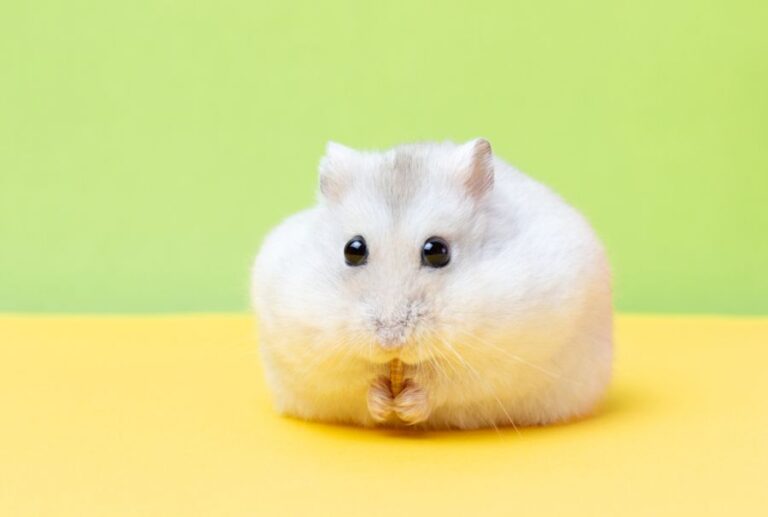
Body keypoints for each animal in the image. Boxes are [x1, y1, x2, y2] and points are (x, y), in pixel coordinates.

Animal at [251, 139, 612, 430]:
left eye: (437, 251)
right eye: (352, 249)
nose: (390, 341)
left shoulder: (501, 357)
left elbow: (444, 385)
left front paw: (407, 406)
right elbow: (356, 380)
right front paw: (382, 404)